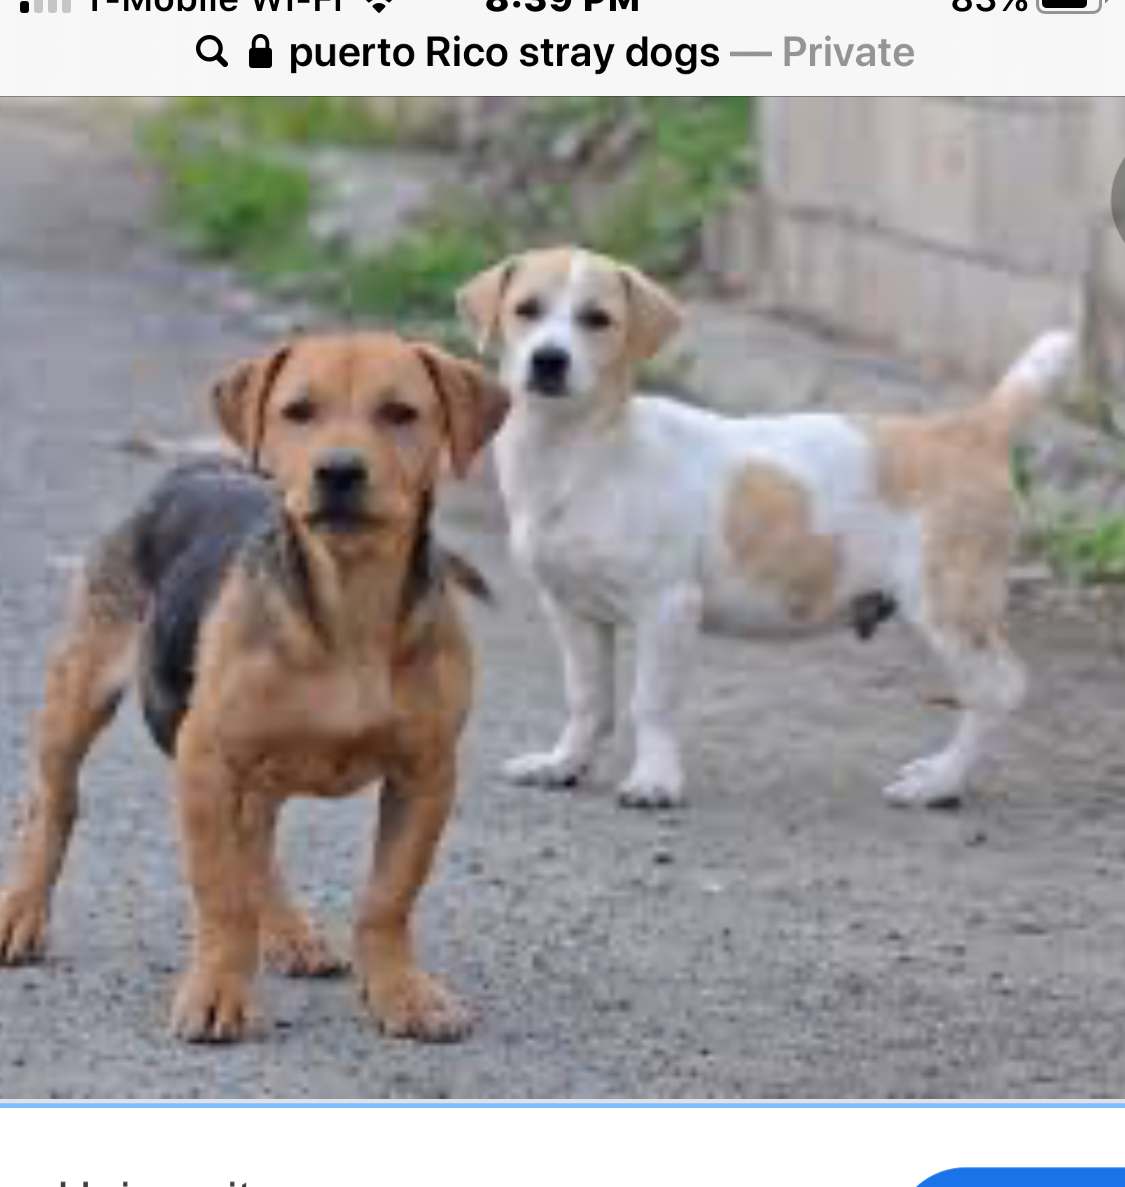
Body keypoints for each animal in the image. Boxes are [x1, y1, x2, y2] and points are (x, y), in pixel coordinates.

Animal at [0, 329, 507, 1044]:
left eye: (400, 413)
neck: (350, 605)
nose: (339, 472)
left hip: (258, 767)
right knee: (54, 803)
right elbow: (221, 893)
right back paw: (22, 914)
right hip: (81, 688)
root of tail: (193, 469)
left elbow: (388, 896)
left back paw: (291, 935)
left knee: (259, 841)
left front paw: (401, 992)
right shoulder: (208, 760)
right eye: (299, 412)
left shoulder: (426, 771)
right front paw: (218, 991)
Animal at [458, 246, 1082, 811]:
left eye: (597, 319)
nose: (549, 360)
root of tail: (972, 430)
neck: (580, 453)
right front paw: (564, 763)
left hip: (947, 607)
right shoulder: (572, 610)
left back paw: (941, 783)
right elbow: (587, 699)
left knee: (997, 690)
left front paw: (654, 780)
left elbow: (650, 703)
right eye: (526, 310)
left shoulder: (667, 606)